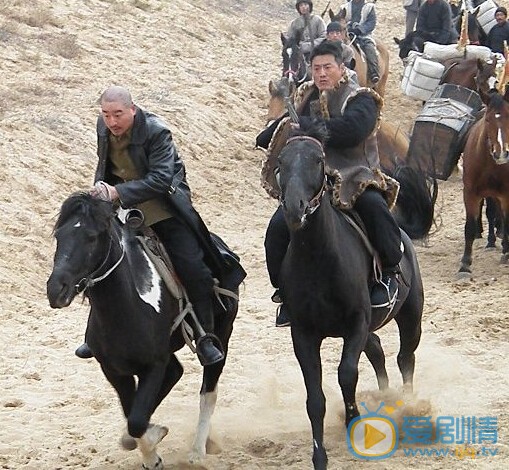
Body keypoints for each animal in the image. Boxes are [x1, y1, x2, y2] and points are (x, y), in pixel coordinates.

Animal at [45, 193, 240, 468]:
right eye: (59, 236)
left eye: (91, 237)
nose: (56, 290)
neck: (127, 310)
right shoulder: (114, 371)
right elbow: (132, 416)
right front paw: (147, 443)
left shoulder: (154, 365)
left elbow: (136, 421)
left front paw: (154, 448)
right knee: (175, 373)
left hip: (222, 335)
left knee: (208, 391)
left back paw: (197, 451)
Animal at [276, 126, 422, 470]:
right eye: (281, 161)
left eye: (318, 160)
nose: (294, 208)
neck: (318, 258)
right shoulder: (303, 334)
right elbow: (315, 398)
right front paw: (319, 456)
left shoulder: (356, 324)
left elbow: (347, 375)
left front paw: (354, 422)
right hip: (369, 329)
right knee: (379, 351)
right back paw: (385, 398)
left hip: (411, 316)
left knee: (405, 358)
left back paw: (407, 405)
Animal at [456, 86, 508, 278]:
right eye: (487, 120)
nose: (502, 154)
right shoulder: (471, 193)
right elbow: (470, 226)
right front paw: (465, 265)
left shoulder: (505, 194)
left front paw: (506, 253)